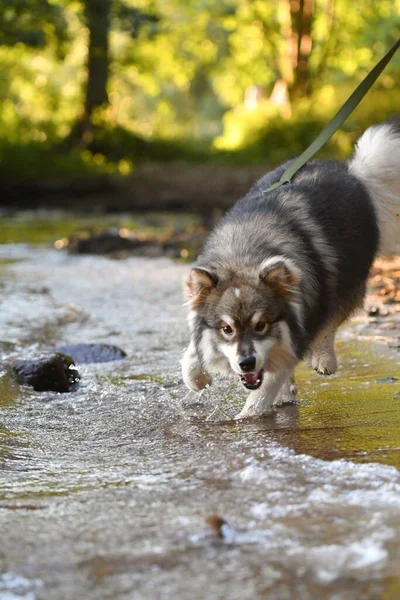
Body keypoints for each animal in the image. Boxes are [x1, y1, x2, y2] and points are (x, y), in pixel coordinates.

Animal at [181, 117, 400, 418]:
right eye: (227, 329)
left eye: (261, 325)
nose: (247, 363)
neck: (246, 254)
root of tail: (352, 172)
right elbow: (193, 351)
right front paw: (197, 376)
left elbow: (262, 392)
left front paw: (246, 421)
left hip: (345, 282)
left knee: (331, 320)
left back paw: (324, 358)